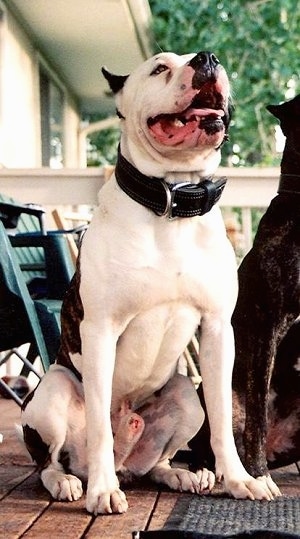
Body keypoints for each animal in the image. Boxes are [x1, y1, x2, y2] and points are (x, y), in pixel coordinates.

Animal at [21, 51, 278, 520]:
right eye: (160, 68)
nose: (207, 58)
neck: (172, 201)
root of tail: (127, 463)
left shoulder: (218, 329)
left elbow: (223, 422)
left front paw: (240, 481)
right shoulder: (100, 329)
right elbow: (100, 426)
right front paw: (102, 492)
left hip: (185, 395)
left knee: (157, 460)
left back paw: (180, 474)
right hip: (53, 391)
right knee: (48, 461)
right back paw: (71, 481)